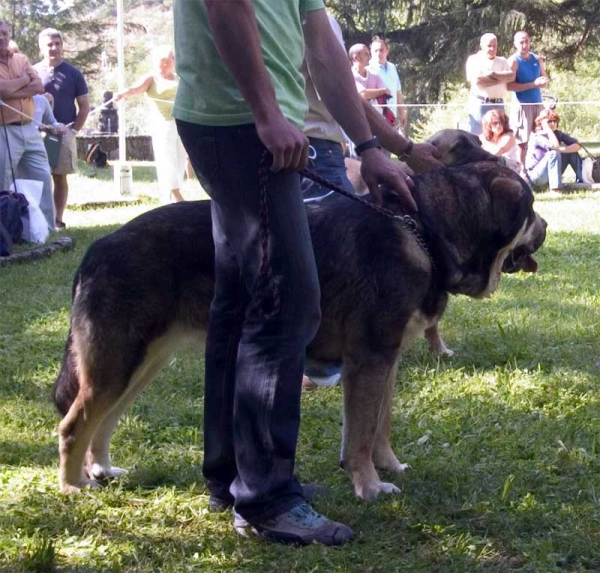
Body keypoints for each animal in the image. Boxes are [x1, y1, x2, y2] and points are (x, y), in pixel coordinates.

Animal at [54, 150, 548, 498]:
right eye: (530, 208)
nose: (544, 226)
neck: (423, 230)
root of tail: (100, 246)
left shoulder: (383, 362)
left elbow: (378, 427)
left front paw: (387, 467)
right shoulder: (368, 361)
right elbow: (361, 435)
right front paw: (369, 486)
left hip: (138, 367)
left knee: (102, 423)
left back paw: (100, 469)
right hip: (116, 368)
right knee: (74, 425)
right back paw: (73, 485)